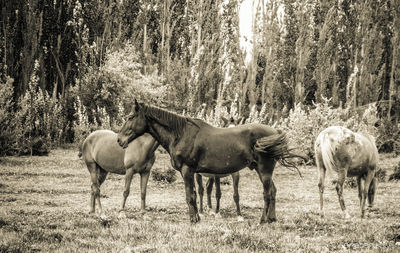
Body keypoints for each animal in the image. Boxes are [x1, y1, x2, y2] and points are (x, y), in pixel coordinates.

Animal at [117, 100, 304, 223]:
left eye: (131, 117)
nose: (119, 140)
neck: (181, 134)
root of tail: (274, 131)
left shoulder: (187, 170)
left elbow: (189, 195)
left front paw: (193, 220)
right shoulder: (193, 173)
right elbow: (194, 193)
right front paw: (198, 216)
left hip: (264, 170)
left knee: (267, 193)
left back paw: (263, 220)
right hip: (262, 171)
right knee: (273, 191)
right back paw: (272, 218)